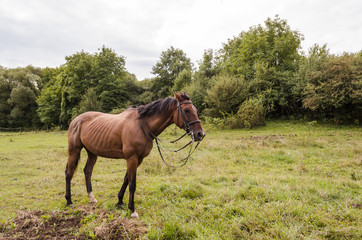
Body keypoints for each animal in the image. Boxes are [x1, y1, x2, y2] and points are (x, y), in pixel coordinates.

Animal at [64, 91, 204, 218]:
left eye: (195, 109)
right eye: (186, 110)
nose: (200, 134)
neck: (141, 125)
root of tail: (76, 120)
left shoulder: (138, 159)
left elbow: (126, 179)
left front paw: (120, 202)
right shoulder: (132, 158)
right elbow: (132, 184)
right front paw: (132, 210)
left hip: (92, 153)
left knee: (87, 171)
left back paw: (92, 198)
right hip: (74, 150)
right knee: (69, 173)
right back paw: (69, 201)